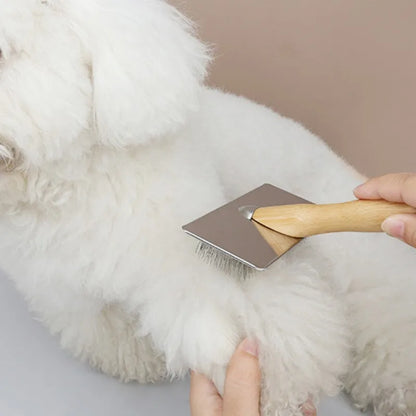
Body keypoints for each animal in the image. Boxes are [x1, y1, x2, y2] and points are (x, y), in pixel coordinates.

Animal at [0, 0, 416, 416]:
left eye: (4, 54)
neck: (67, 185)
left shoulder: (190, 249)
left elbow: (240, 310)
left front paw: (272, 383)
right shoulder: (64, 290)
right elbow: (105, 327)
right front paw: (135, 359)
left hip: (361, 267)